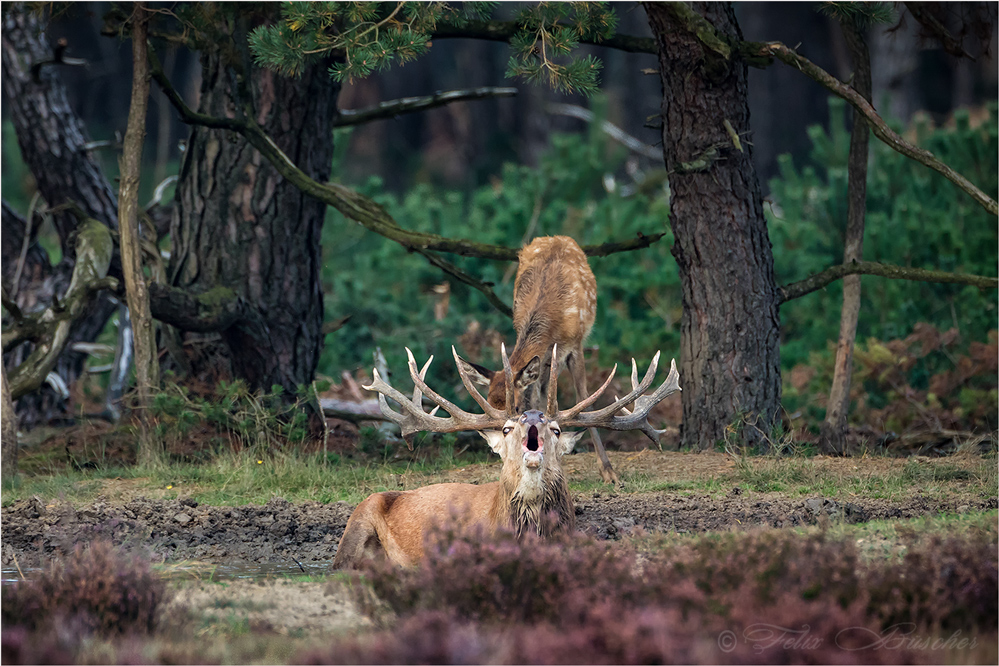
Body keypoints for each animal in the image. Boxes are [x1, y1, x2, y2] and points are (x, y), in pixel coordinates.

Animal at [458, 233, 620, 482]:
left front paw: (609, 472)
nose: (499, 445)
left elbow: (583, 398)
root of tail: (557, 237)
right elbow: (537, 399)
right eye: (489, 401)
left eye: (515, 408)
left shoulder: (575, 345)